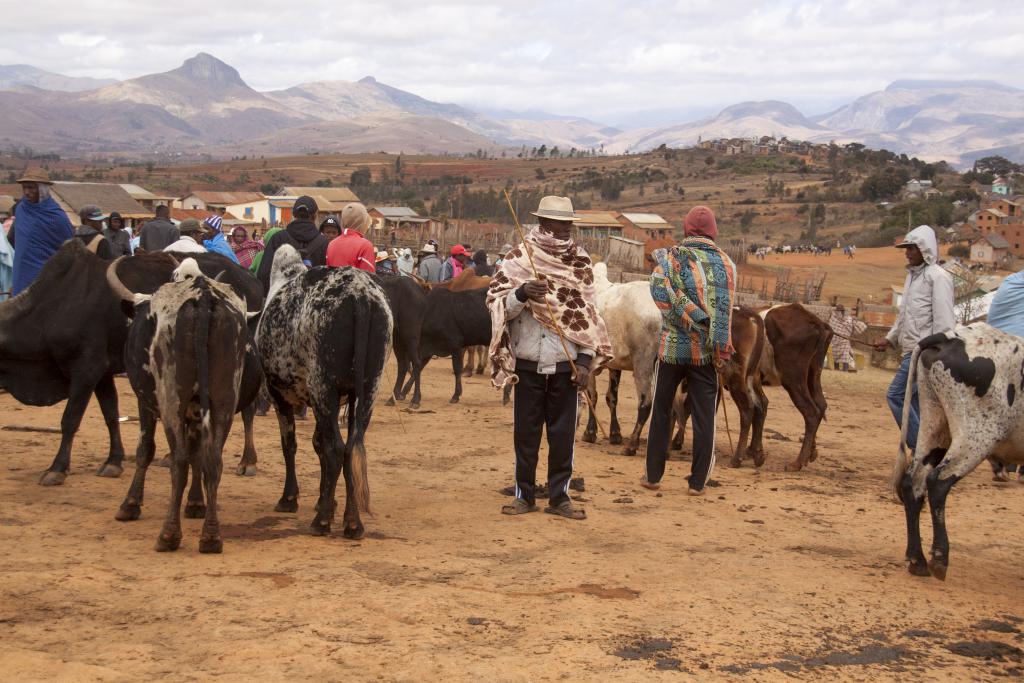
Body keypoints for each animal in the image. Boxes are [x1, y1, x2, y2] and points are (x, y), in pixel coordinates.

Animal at [258, 245, 393, 540]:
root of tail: (360, 295)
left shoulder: (279, 393)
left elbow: (291, 445)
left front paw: (290, 499)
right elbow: (318, 444)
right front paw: (326, 503)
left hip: (323, 387)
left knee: (336, 450)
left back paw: (321, 523)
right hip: (367, 390)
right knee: (351, 448)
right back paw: (352, 523)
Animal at [671, 307, 770, 466]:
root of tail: (752, 316)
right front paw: (678, 442)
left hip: (735, 378)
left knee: (748, 409)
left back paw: (737, 458)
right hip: (751, 377)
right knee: (761, 405)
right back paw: (758, 455)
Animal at [888, 323, 1024, 581]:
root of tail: (950, 337)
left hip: (935, 426)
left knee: (913, 482)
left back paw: (917, 559)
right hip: (977, 436)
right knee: (938, 482)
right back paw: (939, 557)